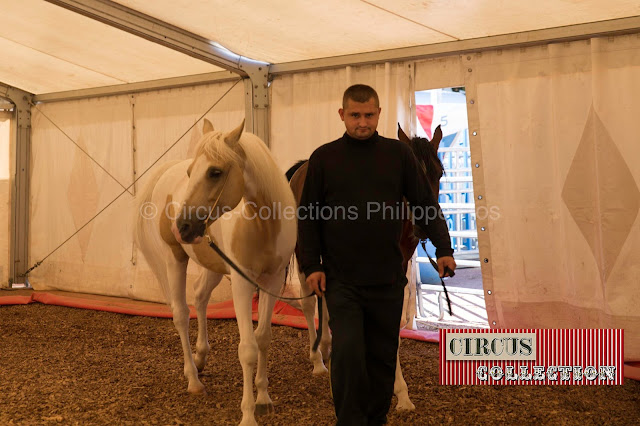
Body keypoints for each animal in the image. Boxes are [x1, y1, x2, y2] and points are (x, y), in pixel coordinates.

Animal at [135, 118, 298, 424]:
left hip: (213, 263)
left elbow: (264, 339)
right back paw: (193, 379)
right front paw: (248, 414)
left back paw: (201, 357)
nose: (183, 226)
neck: (262, 226)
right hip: (175, 259)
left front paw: (263, 398)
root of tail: (166, 172)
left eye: (215, 172)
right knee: (181, 314)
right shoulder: (242, 284)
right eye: (191, 173)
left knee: (199, 296)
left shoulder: (271, 280)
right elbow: (247, 349)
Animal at [288, 123, 442, 410]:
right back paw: (318, 361)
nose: (424, 224)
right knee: (309, 303)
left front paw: (400, 393)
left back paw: (326, 347)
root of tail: (303, 168)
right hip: (305, 253)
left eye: (439, 173)